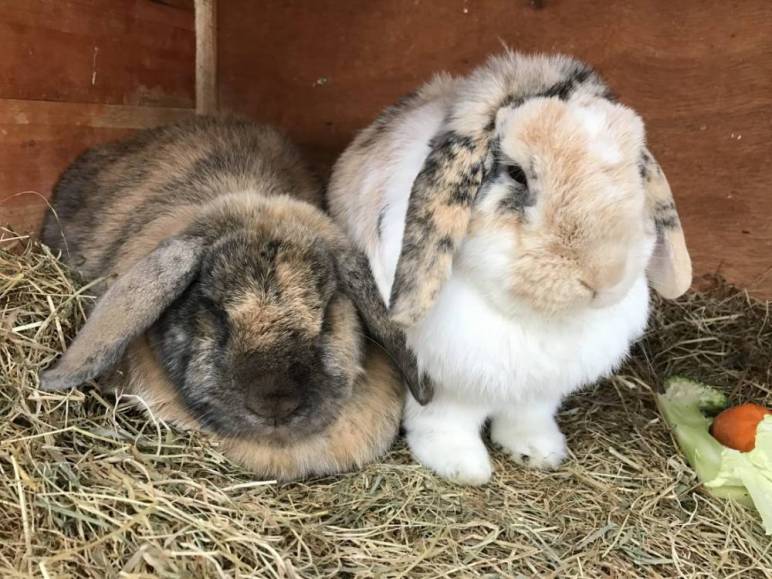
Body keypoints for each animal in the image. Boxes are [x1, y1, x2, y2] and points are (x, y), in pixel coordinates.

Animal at [327, 51, 692, 485]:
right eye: (517, 173)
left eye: (636, 172)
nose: (604, 277)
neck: (537, 318)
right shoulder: (447, 377)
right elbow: (447, 420)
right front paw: (462, 466)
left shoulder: (538, 390)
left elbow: (527, 416)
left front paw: (539, 451)